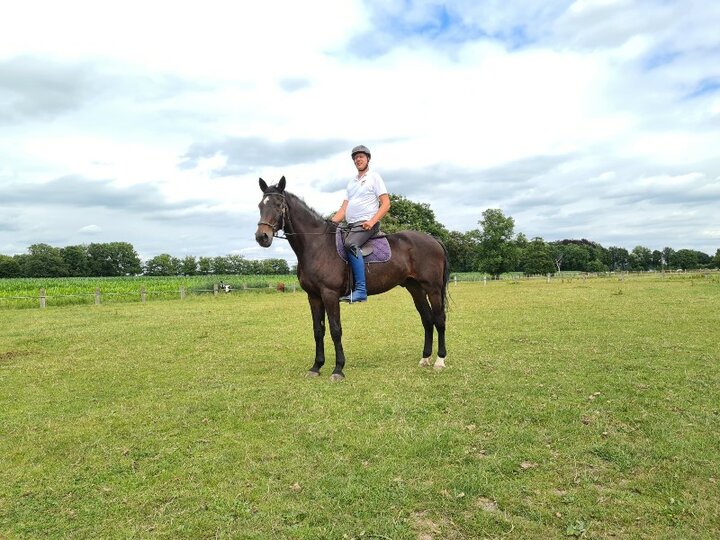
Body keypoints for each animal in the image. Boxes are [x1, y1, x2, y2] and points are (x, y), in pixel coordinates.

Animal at [256, 177, 448, 380]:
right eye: (261, 205)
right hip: (415, 288)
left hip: (433, 289)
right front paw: (316, 366)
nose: (262, 237)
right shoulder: (314, 297)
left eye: (279, 205)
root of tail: (434, 240)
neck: (317, 245)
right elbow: (318, 330)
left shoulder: (330, 295)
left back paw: (439, 361)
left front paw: (338, 369)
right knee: (427, 319)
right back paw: (425, 358)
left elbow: (335, 330)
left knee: (439, 320)